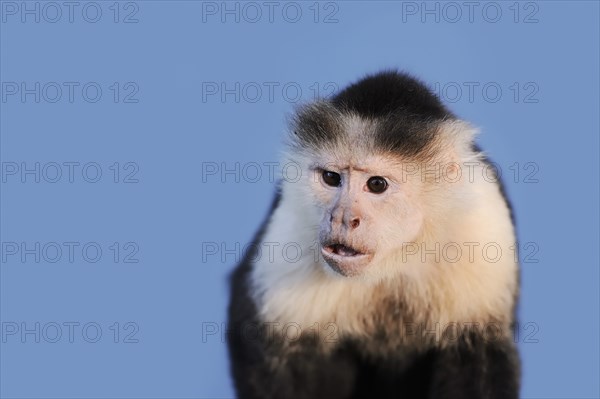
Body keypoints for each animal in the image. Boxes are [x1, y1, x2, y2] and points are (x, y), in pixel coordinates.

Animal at [226, 71, 520, 399]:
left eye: (377, 184)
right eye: (331, 178)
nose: (342, 218)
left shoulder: (482, 230)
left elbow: (479, 355)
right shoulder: (291, 227)